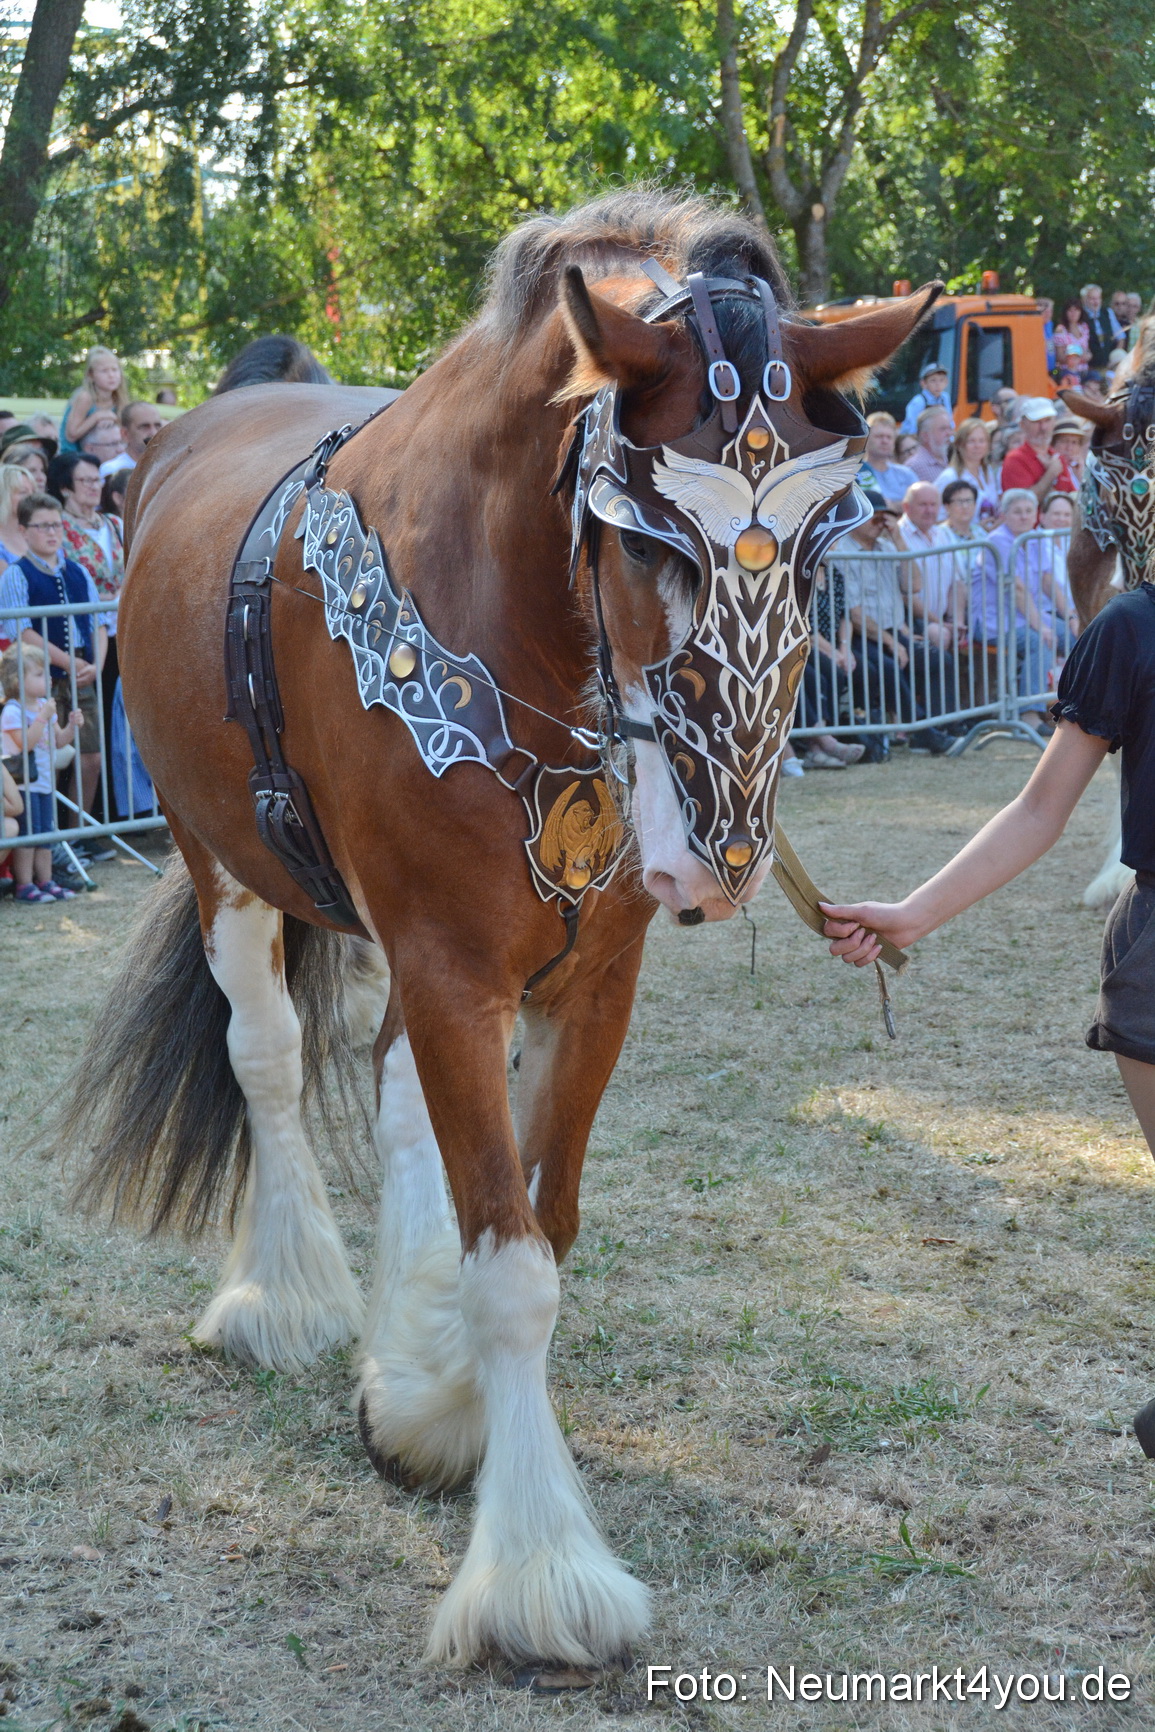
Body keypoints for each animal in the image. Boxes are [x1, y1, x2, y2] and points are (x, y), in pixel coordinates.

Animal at [58, 188, 937, 1670]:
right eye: (647, 540)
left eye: (826, 543)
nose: (720, 861)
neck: (513, 626)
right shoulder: (452, 964)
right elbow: (514, 1264)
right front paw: (539, 1573)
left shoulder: (591, 978)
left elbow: (540, 1214)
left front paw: (433, 1403)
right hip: (214, 857)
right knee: (270, 1057)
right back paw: (284, 1296)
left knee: (390, 1082)